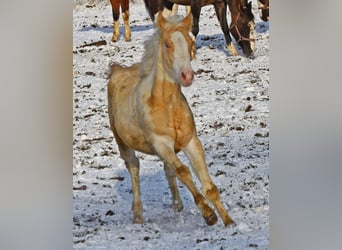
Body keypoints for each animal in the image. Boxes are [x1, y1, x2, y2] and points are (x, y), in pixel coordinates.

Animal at [107, 12, 235, 227]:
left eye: (190, 42)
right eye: (167, 44)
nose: (187, 76)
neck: (167, 105)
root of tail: (117, 71)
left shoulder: (191, 141)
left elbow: (207, 184)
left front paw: (229, 222)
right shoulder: (161, 144)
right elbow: (183, 171)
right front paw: (209, 215)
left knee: (167, 170)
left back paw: (177, 205)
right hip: (122, 142)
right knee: (134, 167)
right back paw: (138, 215)